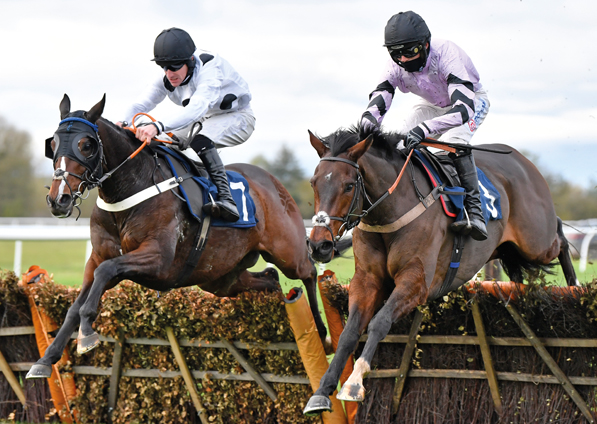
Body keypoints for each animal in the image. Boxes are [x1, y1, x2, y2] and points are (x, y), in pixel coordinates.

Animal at [28, 95, 326, 378]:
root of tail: (274, 183)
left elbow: (106, 272)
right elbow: (77, 303)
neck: (130, 188)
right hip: (220, 277)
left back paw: (321, 332)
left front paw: (87, 333)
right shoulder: (99, 256)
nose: (59, 200)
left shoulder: (159, 260)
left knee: (309, 271)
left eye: (86, 145)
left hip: (287, 252)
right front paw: (45, 359)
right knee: (270, 280)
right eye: (52, 144)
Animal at [300, 126, 576, 414]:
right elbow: (348, 334)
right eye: (313, 182)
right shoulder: (366, 281)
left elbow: (379, 322)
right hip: (508, 249)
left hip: (536, 241)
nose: (319, 245)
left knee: (560, 237)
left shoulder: (415, 282)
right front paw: (321, 392)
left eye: (349, 185)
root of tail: (524, 162)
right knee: (520, 272)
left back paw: (574, 285)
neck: (390, 211)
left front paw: (354, 382)